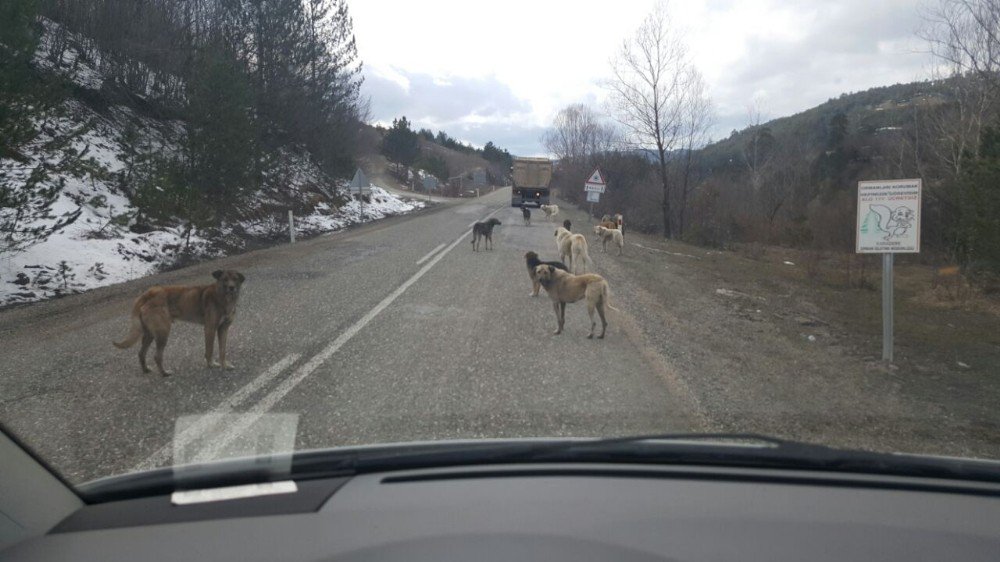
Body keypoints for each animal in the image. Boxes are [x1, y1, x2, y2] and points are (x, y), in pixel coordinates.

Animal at [113, 268, 244, 374]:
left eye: (235, 279)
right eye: (225, 279)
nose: (231, 287)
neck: (222, 297)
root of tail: (149, 293)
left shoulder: (223, 329)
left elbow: (222, 350)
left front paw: (225, 365)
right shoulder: (210, 328)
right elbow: (209, 350)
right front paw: (211, 364)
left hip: (150, 333)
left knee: (141, 353)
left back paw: (146, 370)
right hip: (163, 332)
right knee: (157, 356)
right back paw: (164, 373)